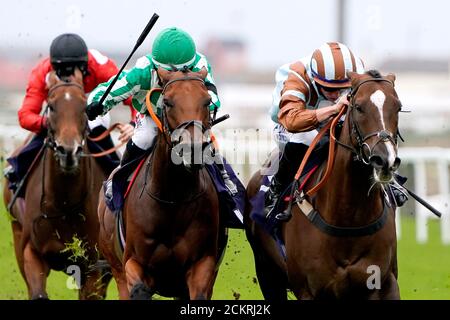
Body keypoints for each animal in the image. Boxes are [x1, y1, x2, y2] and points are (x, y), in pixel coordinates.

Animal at [2, 68, 110, 300]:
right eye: (51, 106)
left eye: (84, 106)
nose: (68, 151)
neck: (64, 203)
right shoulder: (31, 252)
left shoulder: (93, 265)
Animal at [99, 67, 223, 300]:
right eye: (167, 102)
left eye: (207, 100)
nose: (192, 150)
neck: (172, 198)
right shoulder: (133, 262)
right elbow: (139, 288)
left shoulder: (203, 263)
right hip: (115, 267)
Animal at [244, 70, 402, 300]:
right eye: (359, 107)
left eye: (398, 106)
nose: (385, 160)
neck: (349, 218)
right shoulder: (309, 290)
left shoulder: (386, 283)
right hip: (267, 273)